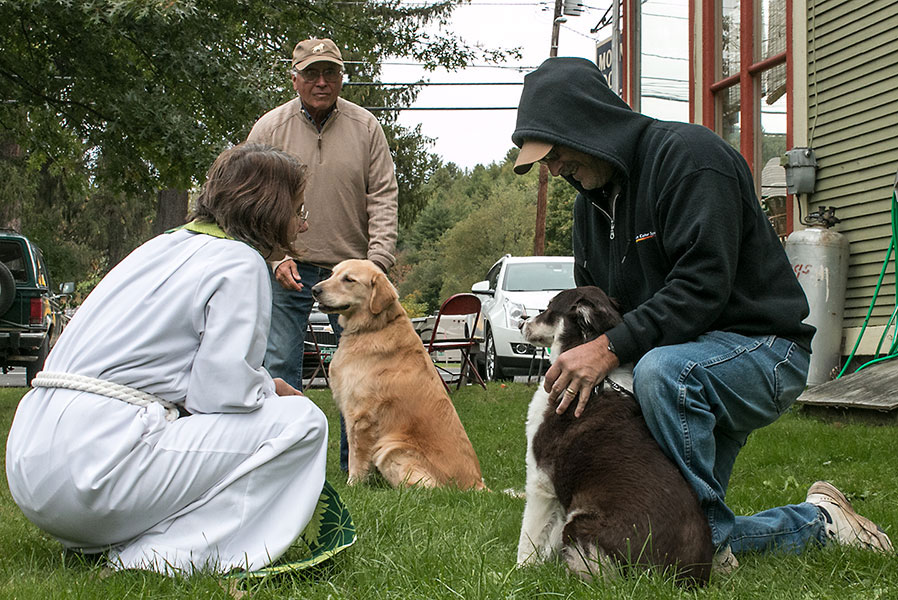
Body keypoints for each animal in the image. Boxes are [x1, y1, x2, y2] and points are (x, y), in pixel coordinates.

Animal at [312, 260, 486, 490]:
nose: (314, 290)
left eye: (349, 279)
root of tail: (476, 484)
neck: (373, 327)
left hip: (390, 446)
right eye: (332, 274)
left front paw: (352, 485)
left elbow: (356, 456)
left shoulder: (360, 415)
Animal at [516, 286, 712, 584]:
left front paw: (516, 574)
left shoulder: (541, 481)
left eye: (549, 308)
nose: (520, 323)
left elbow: (529, 538)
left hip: (581, 524)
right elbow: (547, 540)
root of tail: (671, 578)